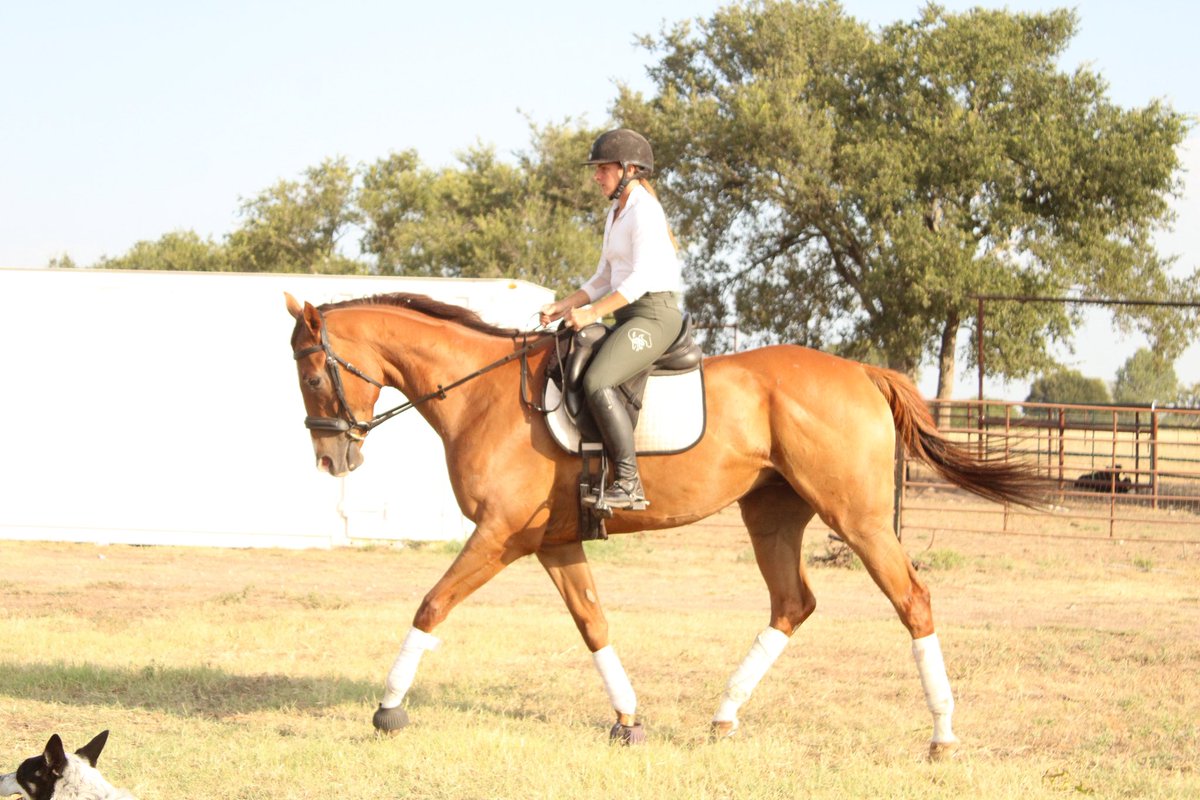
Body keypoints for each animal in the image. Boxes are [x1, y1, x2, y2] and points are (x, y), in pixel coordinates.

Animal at [284, 291, 1044, 759]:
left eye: (313, 373)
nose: (329, 458)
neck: (483, 394)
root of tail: (860, 370)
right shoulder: (553, 542)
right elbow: (593, 624)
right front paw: (628, 721)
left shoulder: (500, 537)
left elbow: (431, 605)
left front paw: (388, 709)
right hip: (772, 514)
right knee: (792, 603)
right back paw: (724, 716)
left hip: (856, 517)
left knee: (912, 600)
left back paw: (942, 736)